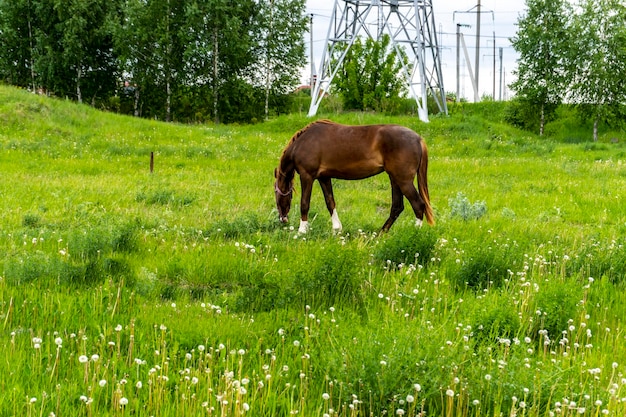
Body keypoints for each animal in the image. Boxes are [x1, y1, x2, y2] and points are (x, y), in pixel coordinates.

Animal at [272, 118, 434, 232]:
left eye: (276, 193)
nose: (283, 219)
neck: (302, 143)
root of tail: (418, 139)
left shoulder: (307, 176)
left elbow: (305, 203)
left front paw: (302, 231)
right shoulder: (324, 177)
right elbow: (330, 202)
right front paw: (337, 229)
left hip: (403, 180)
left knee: (418, 205)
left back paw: (413, 234)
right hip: (394, 179)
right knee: (397, 207)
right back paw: (380, 234)